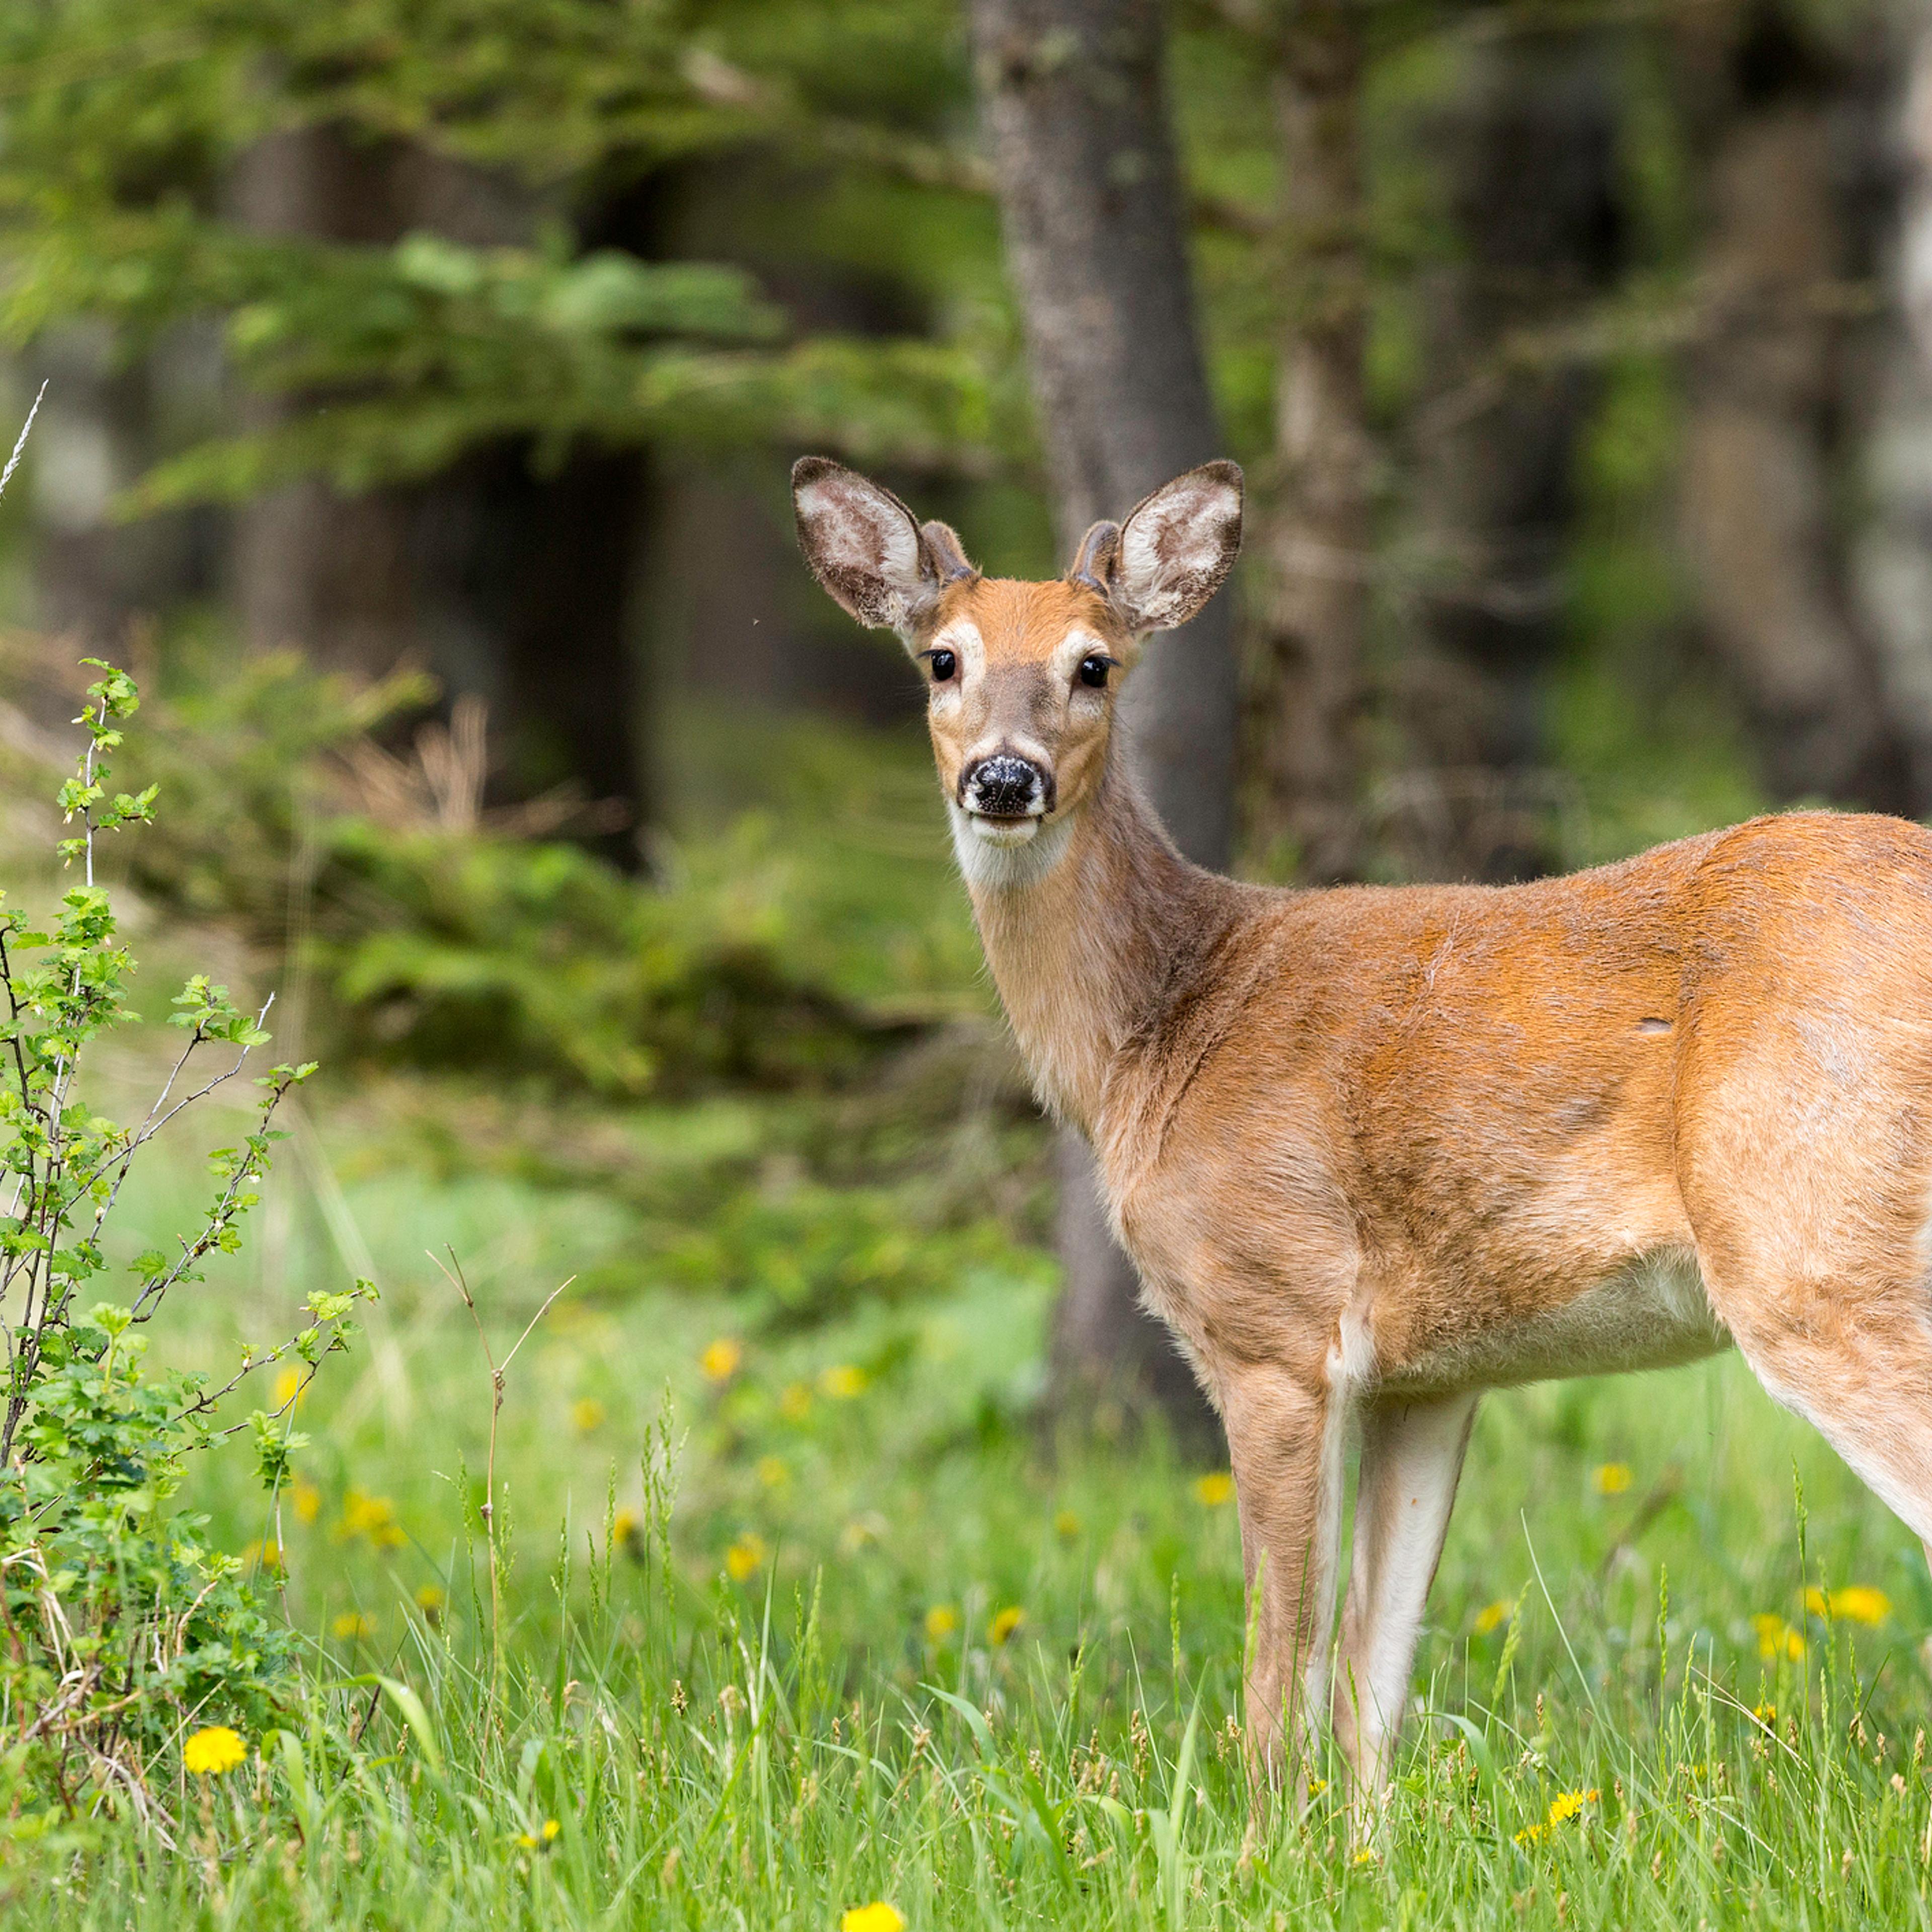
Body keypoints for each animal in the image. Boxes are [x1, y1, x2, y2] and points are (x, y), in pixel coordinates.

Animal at [790, 452, 1932, 1806]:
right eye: (941, 660)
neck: (1158, 1036)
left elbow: (1278, 1656)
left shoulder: (1273, 1322)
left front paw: (1257, 1832)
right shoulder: (1429, 1372)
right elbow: (1369, 1682)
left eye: (1094, 664)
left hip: (1815, 1248)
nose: (1004, 779)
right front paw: (1362, 1840)